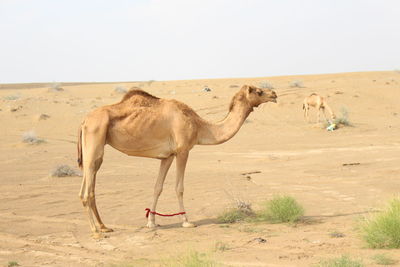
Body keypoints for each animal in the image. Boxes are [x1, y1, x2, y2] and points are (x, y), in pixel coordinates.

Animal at [77, 85, 278, 236]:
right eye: (259, 91)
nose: (274, 94)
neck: (199, 126)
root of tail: (84, 120)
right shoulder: (183, 150)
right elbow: (179, 187)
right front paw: (186, 221)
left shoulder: (167, 156)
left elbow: (158, 187)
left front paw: (152, 223)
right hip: (95, 135)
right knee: (88, 184)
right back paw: (95, 230)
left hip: (94, 145)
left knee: (89, 180)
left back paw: (104, 226)